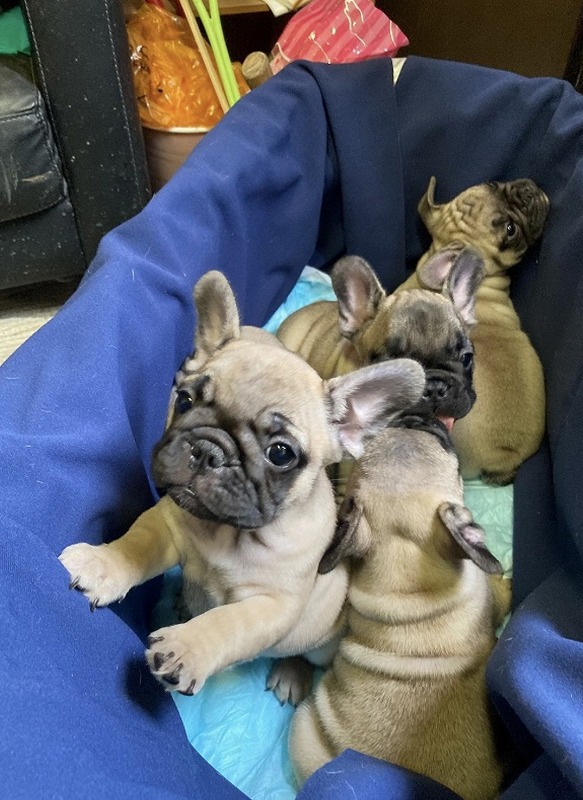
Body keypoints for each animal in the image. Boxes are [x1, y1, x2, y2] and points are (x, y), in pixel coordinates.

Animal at [59, 270, 425, 700]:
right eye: (184, 401)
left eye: (280, 453)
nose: (208, 451)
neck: (225, 533)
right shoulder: (165, 524)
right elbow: (136, 544)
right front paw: (102, 563)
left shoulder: (271, 606)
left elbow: (228, 624)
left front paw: (186, 648)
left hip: (322, 643)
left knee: (306, 656)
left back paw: (291, 673)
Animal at [289, 414, 512, 800]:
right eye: (454, 465)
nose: (414, 416)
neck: (402, 566)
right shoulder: (490, 594)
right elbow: (503, 592)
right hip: (303, 729)